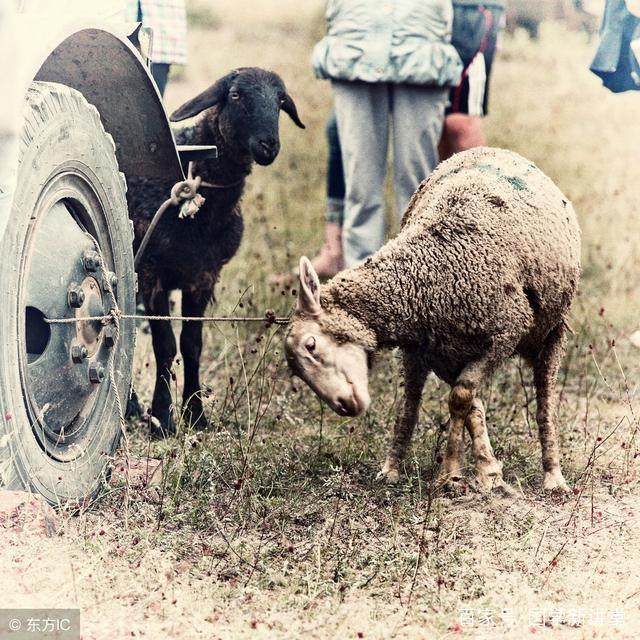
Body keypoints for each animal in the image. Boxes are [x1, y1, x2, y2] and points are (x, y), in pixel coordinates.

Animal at [127, 67, 304, 432]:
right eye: (235, 95)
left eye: (281, 101)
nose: (268, 145)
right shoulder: (152, 274)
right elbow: (164, 346)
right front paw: (162, 418)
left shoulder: (203, 276)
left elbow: (192, 345)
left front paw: (195, 415)